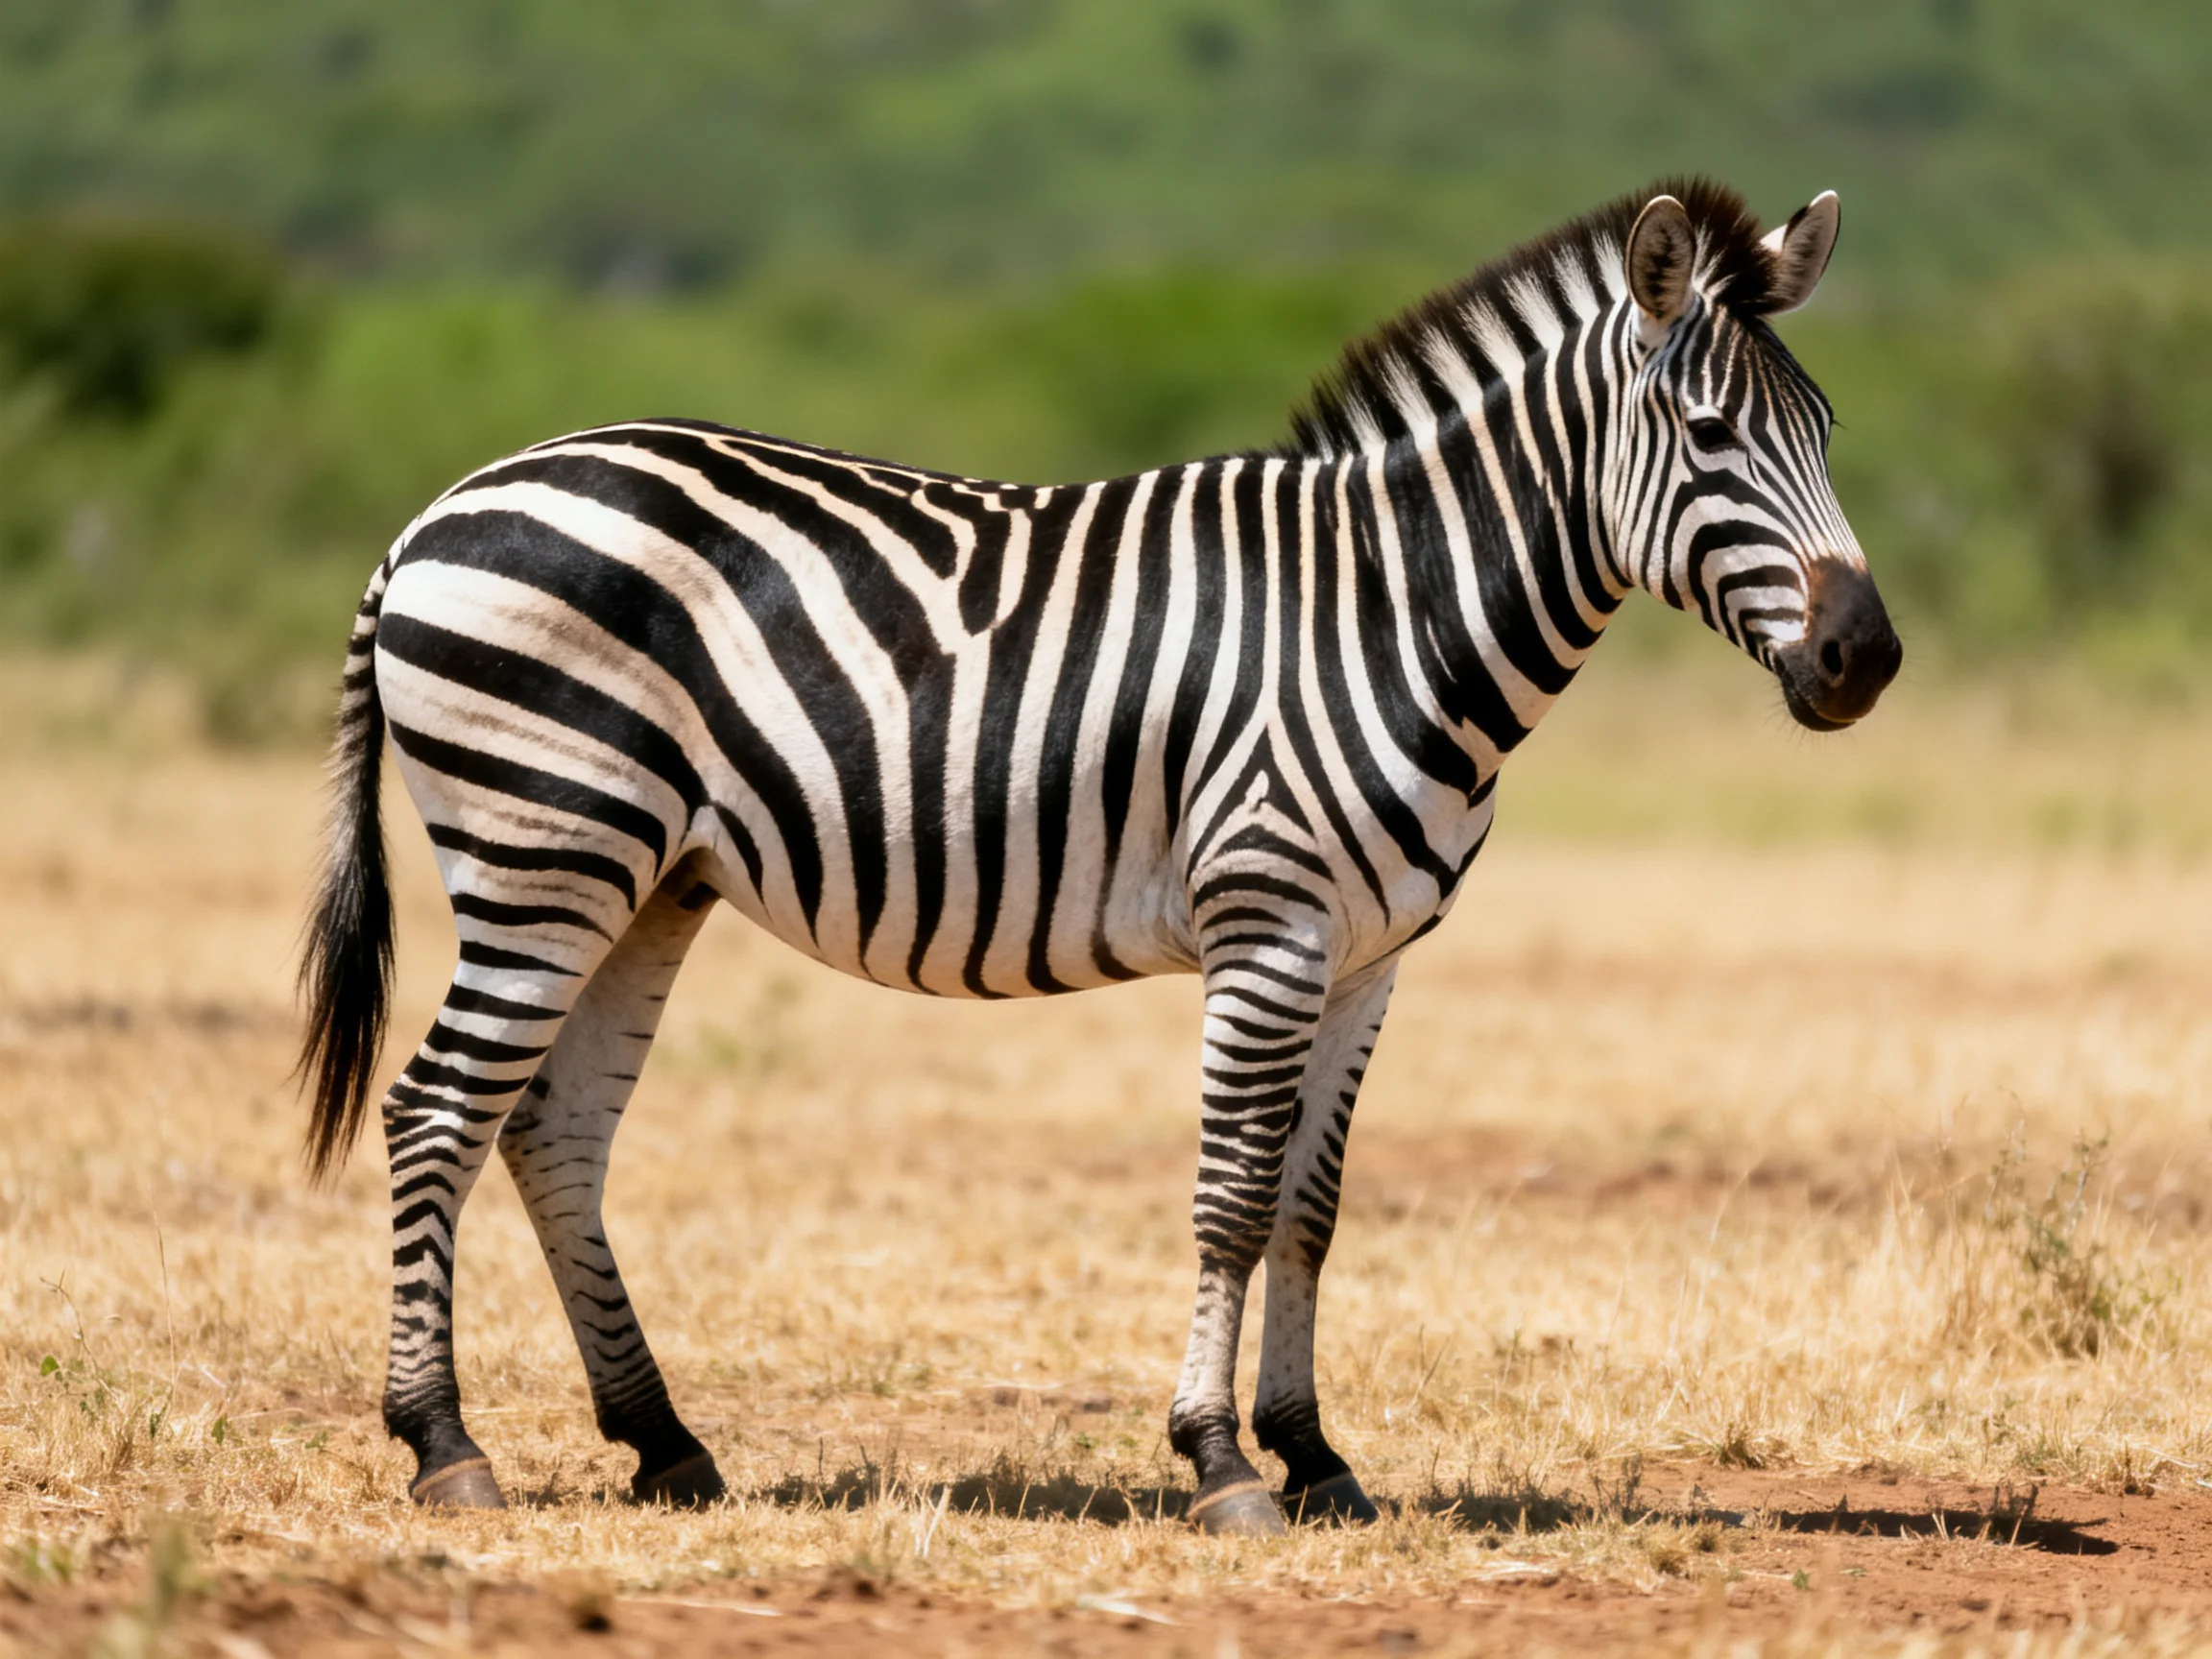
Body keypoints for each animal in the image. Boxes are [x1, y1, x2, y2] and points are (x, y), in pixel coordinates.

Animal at [297, 179, 1899, 1534]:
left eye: (1826, 428)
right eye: (1709, 437)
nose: (1865, 660)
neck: (1391, 615)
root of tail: (433, 513)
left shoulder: (1370, 957)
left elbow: (1311, 1211)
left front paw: (1317, 1457)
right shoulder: (1269, 927)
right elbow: (1233, 1197)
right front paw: (1222, 1464)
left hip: (647, 879)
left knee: (551, 1129)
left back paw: (665, 1444)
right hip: (540, 851)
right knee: (435, 1111)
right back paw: (446, 1446)